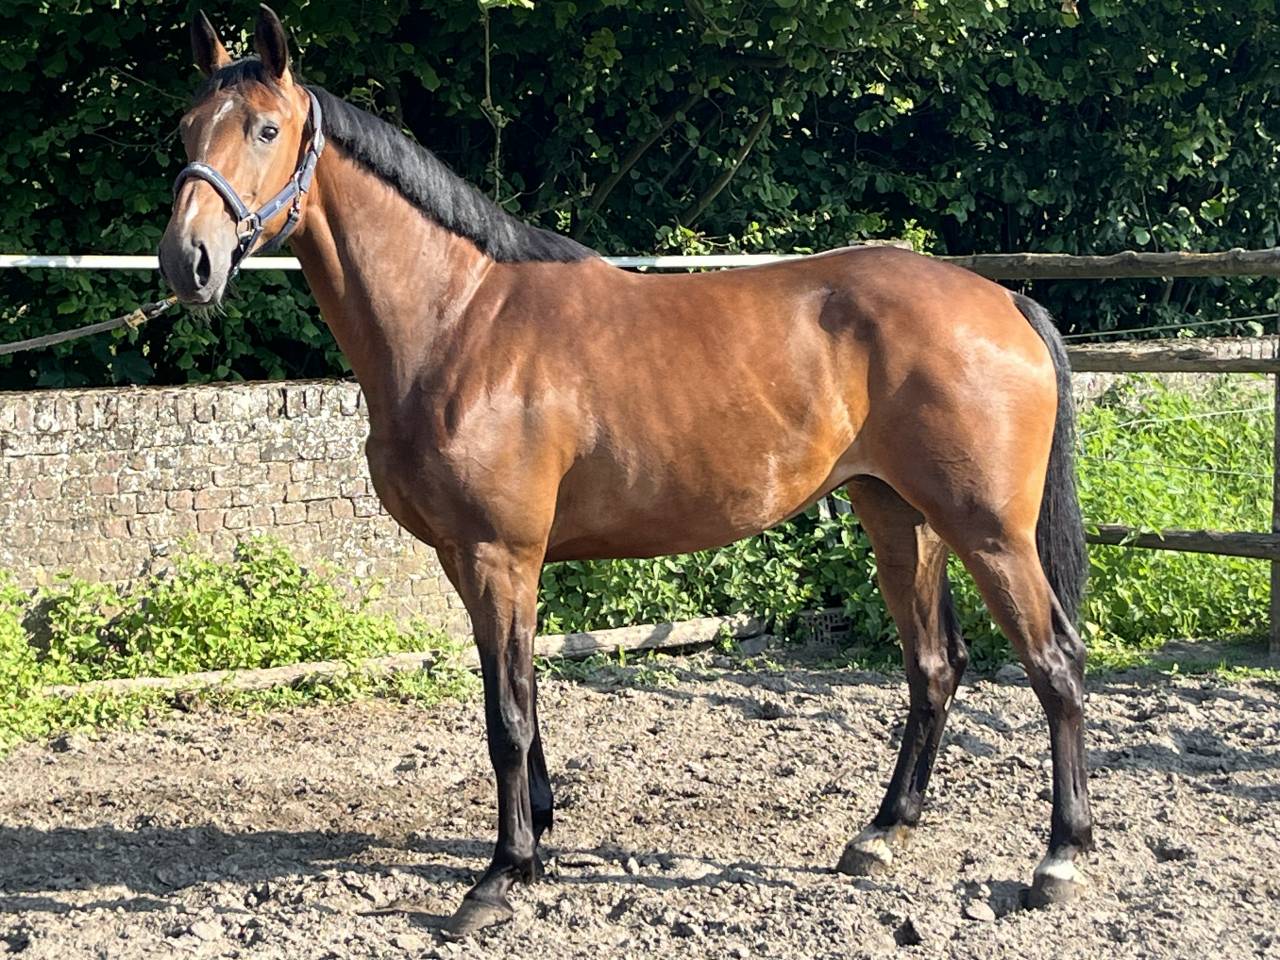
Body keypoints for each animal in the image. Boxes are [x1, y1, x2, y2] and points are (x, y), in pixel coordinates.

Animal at [157, 6, 1093, 937]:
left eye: (266, 128)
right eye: (186, 128)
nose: (186, 261)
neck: (458, 322)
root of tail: (1004, 300)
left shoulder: (500, 555)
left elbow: (507, 715)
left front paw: (497, 878)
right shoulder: (469, 560)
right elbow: (521, 701)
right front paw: (535, 842)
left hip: (989, 531)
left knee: (1054, 662)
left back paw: (1060, 859)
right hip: (901, 516)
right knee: (934, 666)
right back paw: (881, 835)